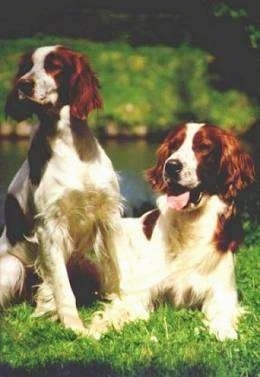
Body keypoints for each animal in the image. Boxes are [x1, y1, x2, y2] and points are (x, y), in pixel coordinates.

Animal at [0, 45, 122, 334]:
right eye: (27, 67)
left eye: (54, 66)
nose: (24, 84)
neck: (70, 144)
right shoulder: (49, 227)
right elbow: (63, 289)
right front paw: (74, 325)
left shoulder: (108, 216)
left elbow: (116, 270)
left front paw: (120, 307)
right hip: (11, 266)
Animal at [87, 122, 254, 340]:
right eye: (174, 146)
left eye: (203, 147)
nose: (172, 165)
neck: (190, 224)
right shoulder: (141, 292)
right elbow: (124, 309)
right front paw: (99, 326)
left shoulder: (222, 292)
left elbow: (223, 313)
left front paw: (224, 330)